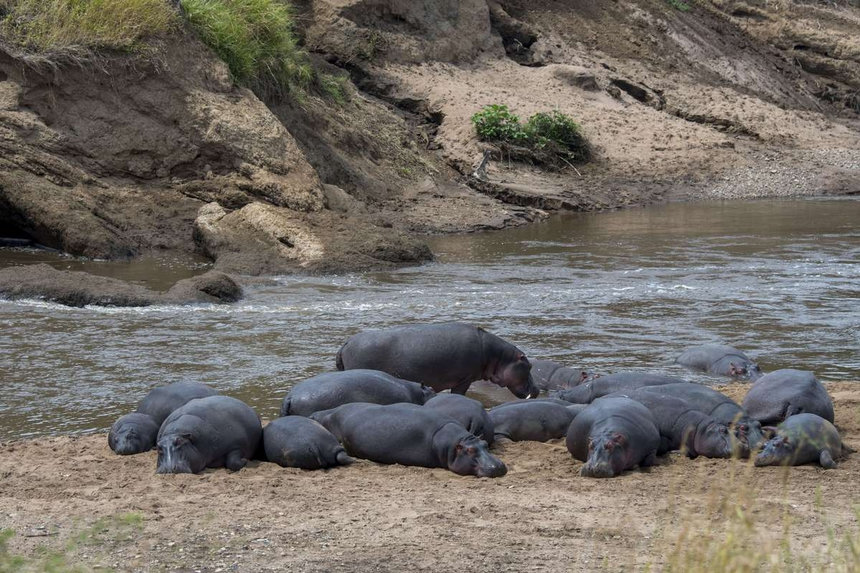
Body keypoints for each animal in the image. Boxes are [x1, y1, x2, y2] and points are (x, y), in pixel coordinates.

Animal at [336, 322, 536, 398]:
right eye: (529, 366)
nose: (537, 390)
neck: (499, 357)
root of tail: (346, 343)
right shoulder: (464, 379)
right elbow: (458, 393)